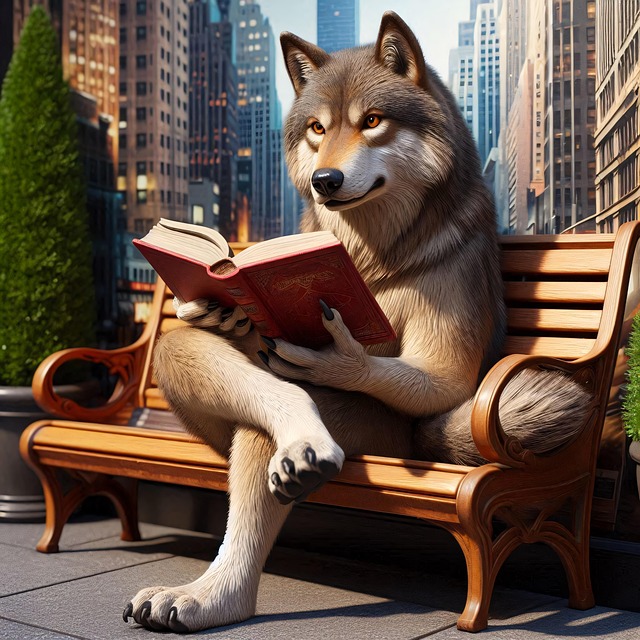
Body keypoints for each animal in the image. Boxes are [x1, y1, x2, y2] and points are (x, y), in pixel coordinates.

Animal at [123, 12, 590, 633]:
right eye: (317, 128)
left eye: (371, 121)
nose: (324, 180)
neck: (369, 248)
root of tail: (419, 442)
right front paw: (212, 308)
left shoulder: (454, 306)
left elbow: (442, 379)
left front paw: (342, 358)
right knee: (184, 350)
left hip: (372, 432)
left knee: (277, 419)